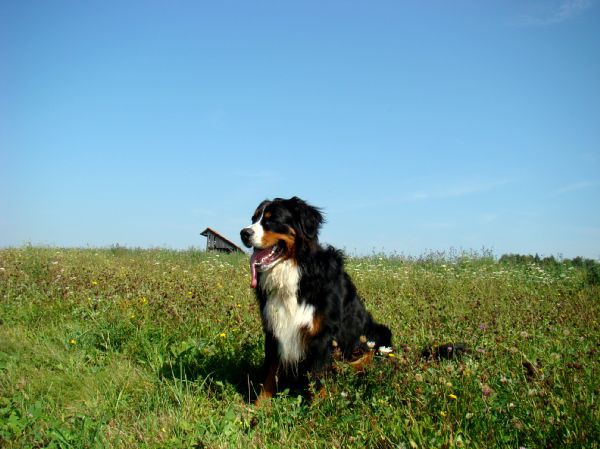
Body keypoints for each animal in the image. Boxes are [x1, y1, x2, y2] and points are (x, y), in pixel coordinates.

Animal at [241, 196, 392, 400]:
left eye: (272, 220)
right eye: (254, 218)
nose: (243, 233)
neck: (295, 272)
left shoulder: (321, 335)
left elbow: (317, 376)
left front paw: (318, 406)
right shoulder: (273, 329)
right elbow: (270, 374)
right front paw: (261, 404)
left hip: (378, 332)